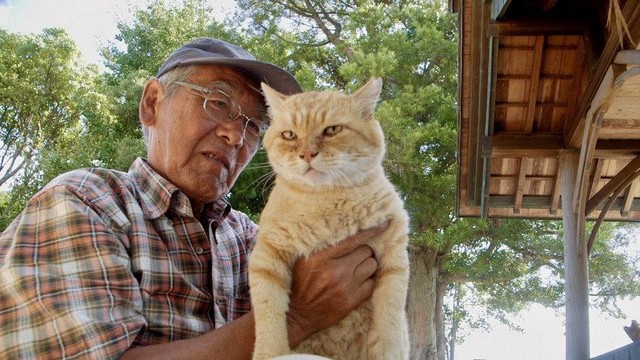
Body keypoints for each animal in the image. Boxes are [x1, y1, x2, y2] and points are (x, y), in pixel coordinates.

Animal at [250, 77, 410, 358]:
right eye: (289, 135)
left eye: (332, 130)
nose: (306, 154)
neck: (327, 201)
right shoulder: (266, 258)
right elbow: (268, 316)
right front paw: (270, 352)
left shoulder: (394, 256)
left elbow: (389, 320)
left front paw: (388, 350)